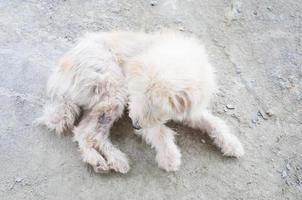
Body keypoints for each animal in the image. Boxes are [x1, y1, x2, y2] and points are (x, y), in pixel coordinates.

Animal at [37, 31, 244, 173]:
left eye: (155, 107)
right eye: (137, 97)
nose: (135, 126)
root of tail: (60, 73)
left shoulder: (190, 109)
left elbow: (215, 123)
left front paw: (232, 144)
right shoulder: (134, 107)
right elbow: (160, 132)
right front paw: (170, 157)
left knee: (84, 132)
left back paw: (102, 160)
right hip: (114, 93)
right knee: (89, 134)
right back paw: (110, 159)